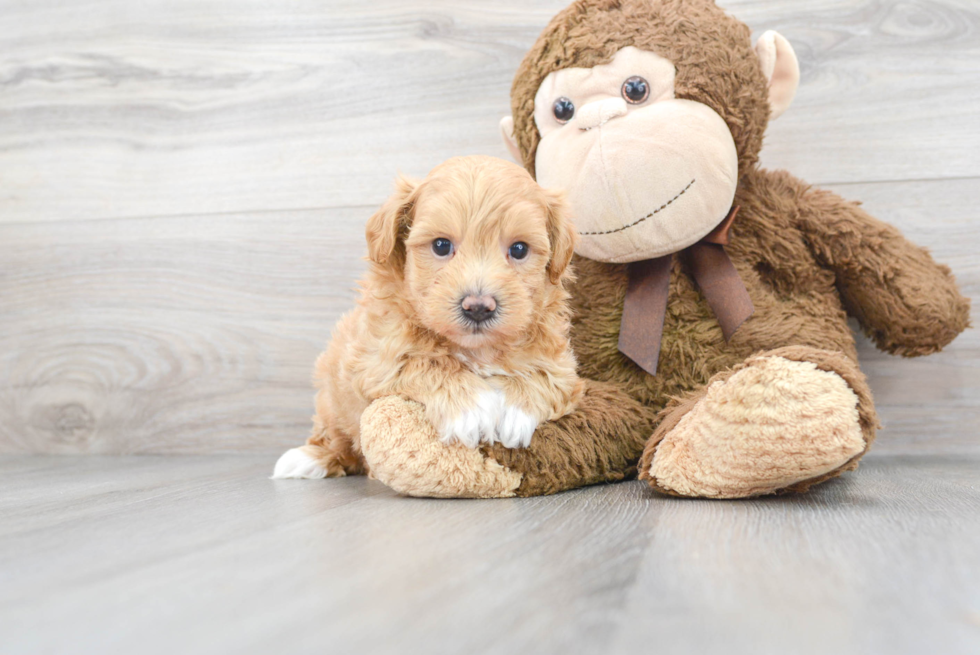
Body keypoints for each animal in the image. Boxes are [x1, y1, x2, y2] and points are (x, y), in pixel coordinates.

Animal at [272, 156, 580, 480]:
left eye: (519, 249)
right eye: (441, 245)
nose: (478, 307)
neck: (477, 350)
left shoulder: (562, 366)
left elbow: (543, 374)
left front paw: (514, 409)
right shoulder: (374, 359)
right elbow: (424, 362)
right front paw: (470, 408)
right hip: (331, 396)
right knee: (334, 437)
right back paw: (309, 457)